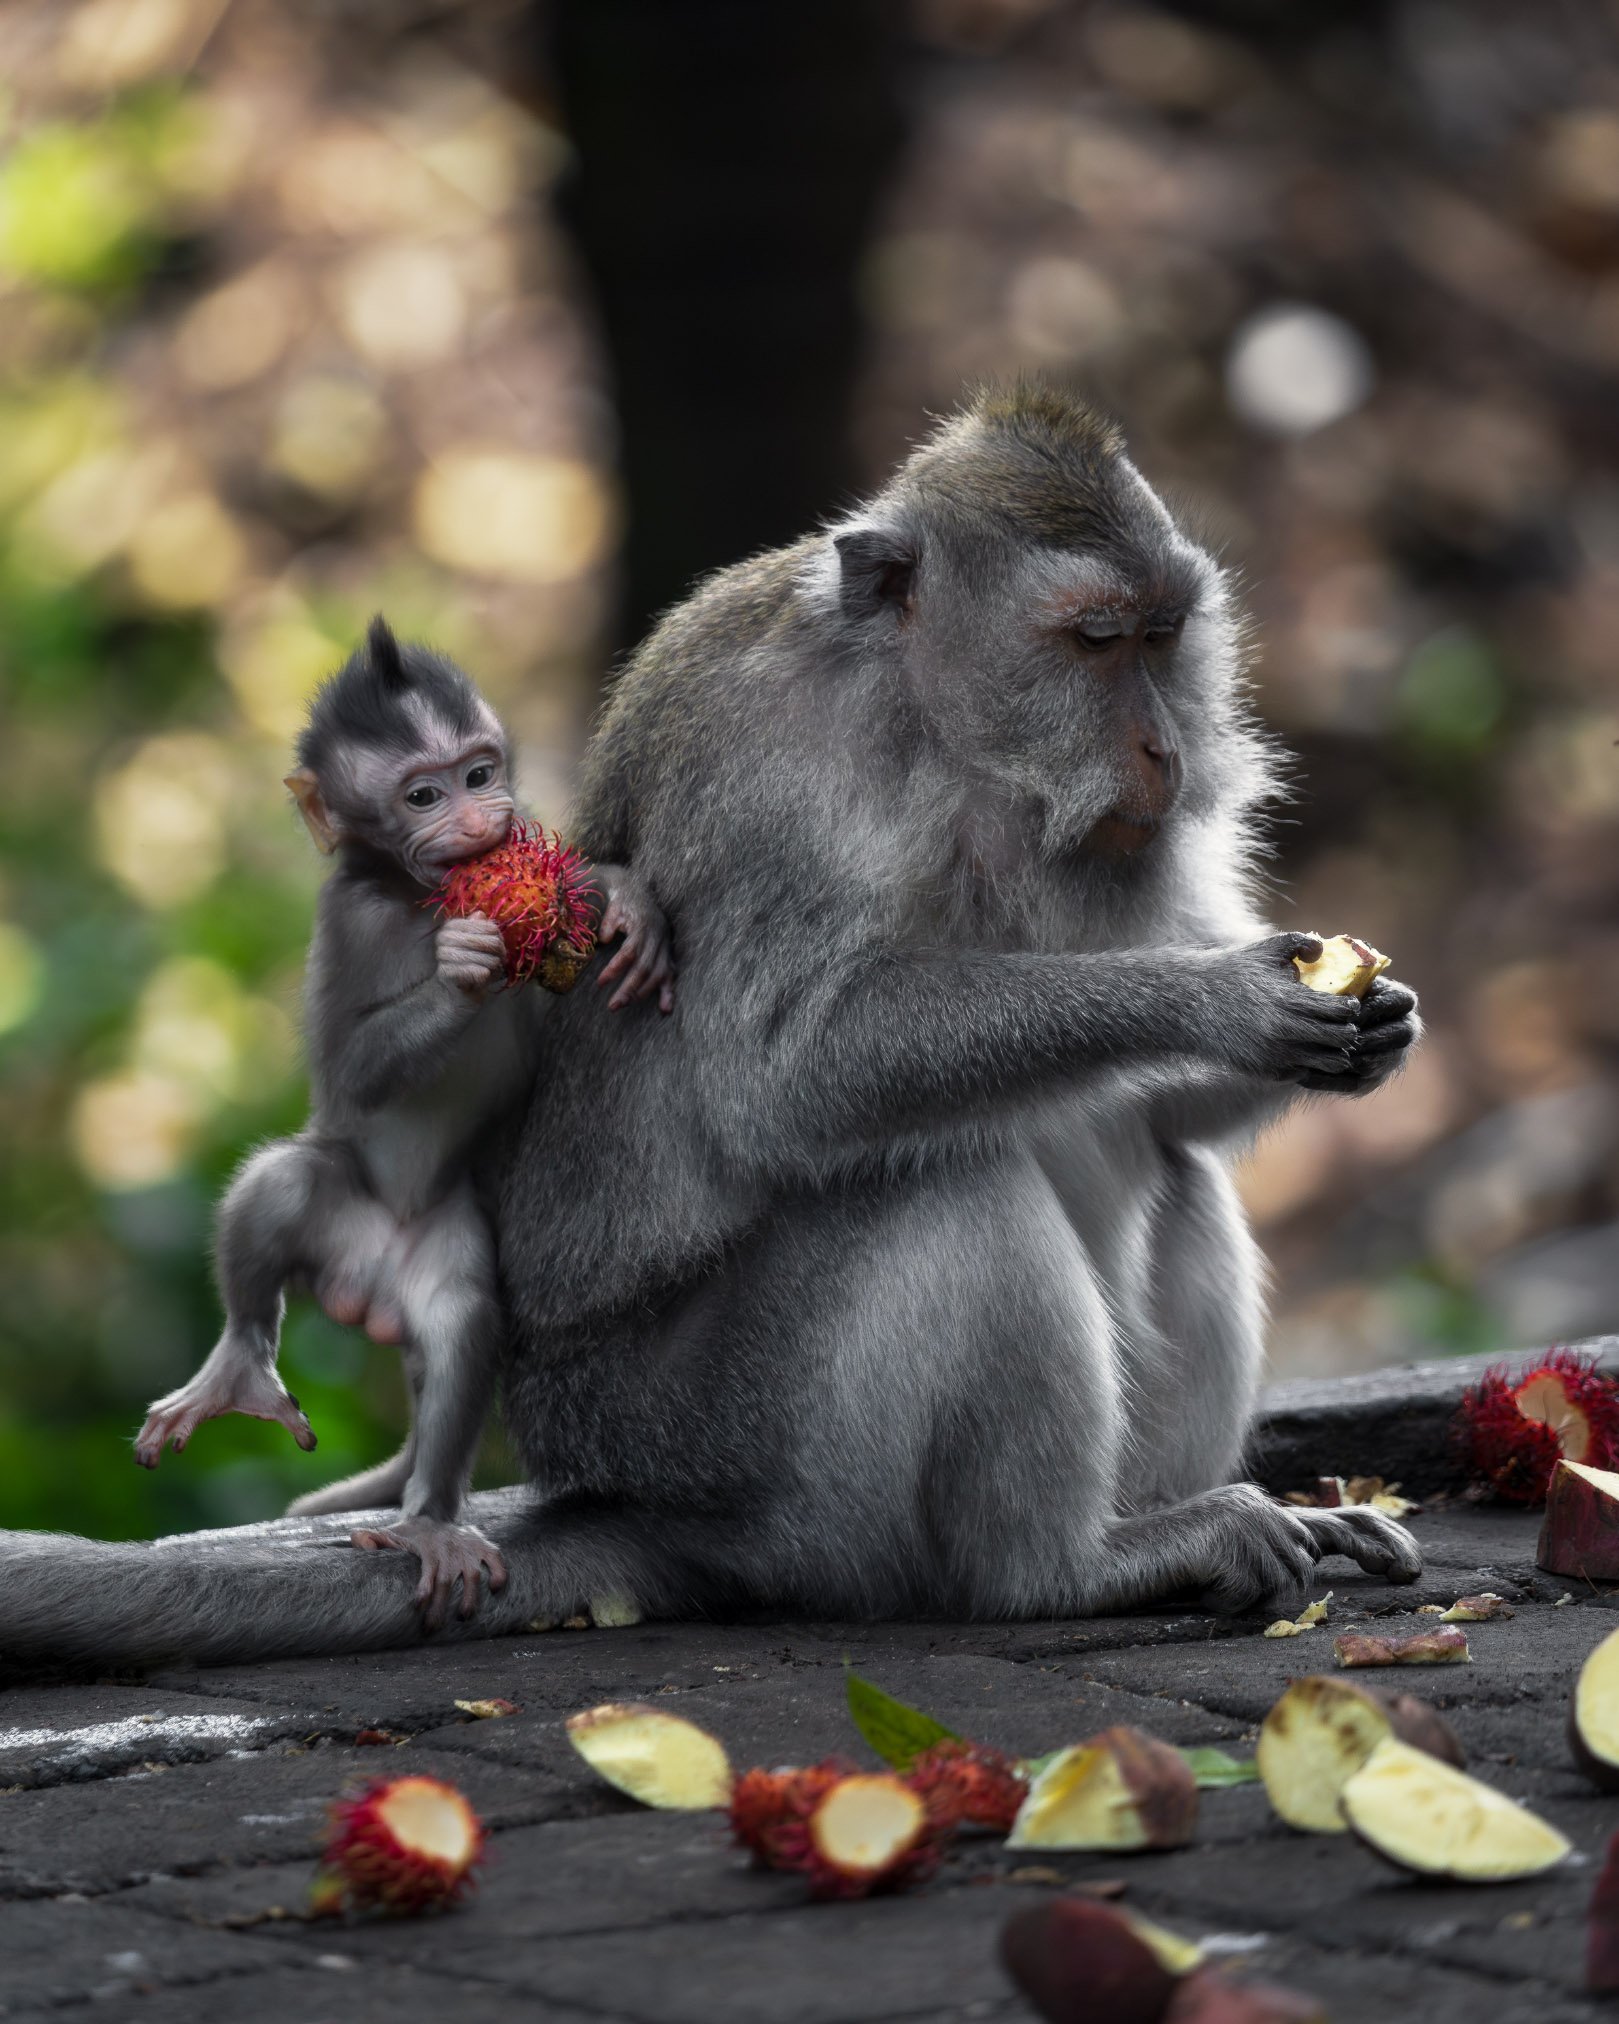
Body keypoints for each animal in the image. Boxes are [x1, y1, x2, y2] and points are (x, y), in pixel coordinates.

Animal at [128, 616, 673, 1626]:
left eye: (481, 773)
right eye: (423, 794)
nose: (482, 818)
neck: (422, 898)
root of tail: (364, 1293)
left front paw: (622, 896)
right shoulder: (349, 918)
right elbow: (352, 1067)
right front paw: (461, 968)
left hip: (443, 1243)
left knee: (462, 1322)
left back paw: (428, 1518)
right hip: (337, 1214)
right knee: (283, 1185)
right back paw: (239, 1369)